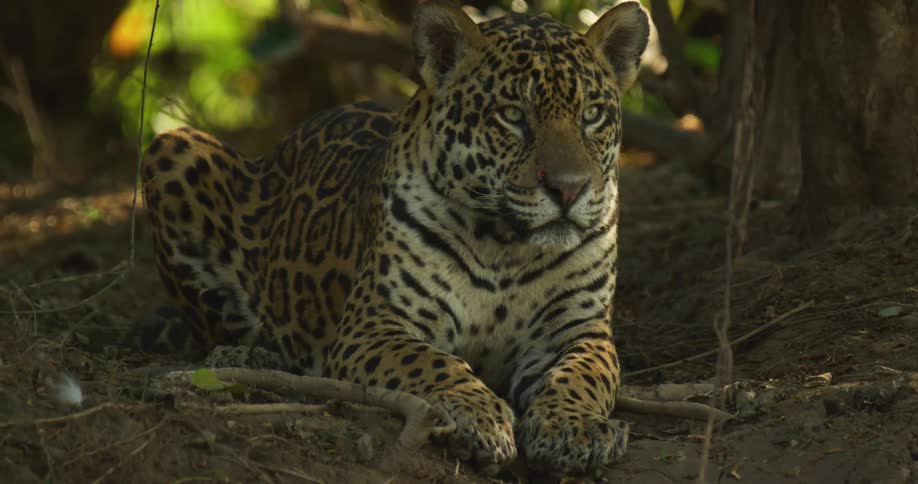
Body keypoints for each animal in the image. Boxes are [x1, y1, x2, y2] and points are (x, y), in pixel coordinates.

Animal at [137, 0, 649, 476]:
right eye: (511, 116)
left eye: (593, 115)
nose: (568, 189)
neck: (506, 245)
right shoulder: (375, 326)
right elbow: (433, 362)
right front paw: (478, 414)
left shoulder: (579, 330)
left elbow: (582, 375)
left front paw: (574, 426)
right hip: (174, 147)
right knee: (217, 325)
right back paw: (253, 357)